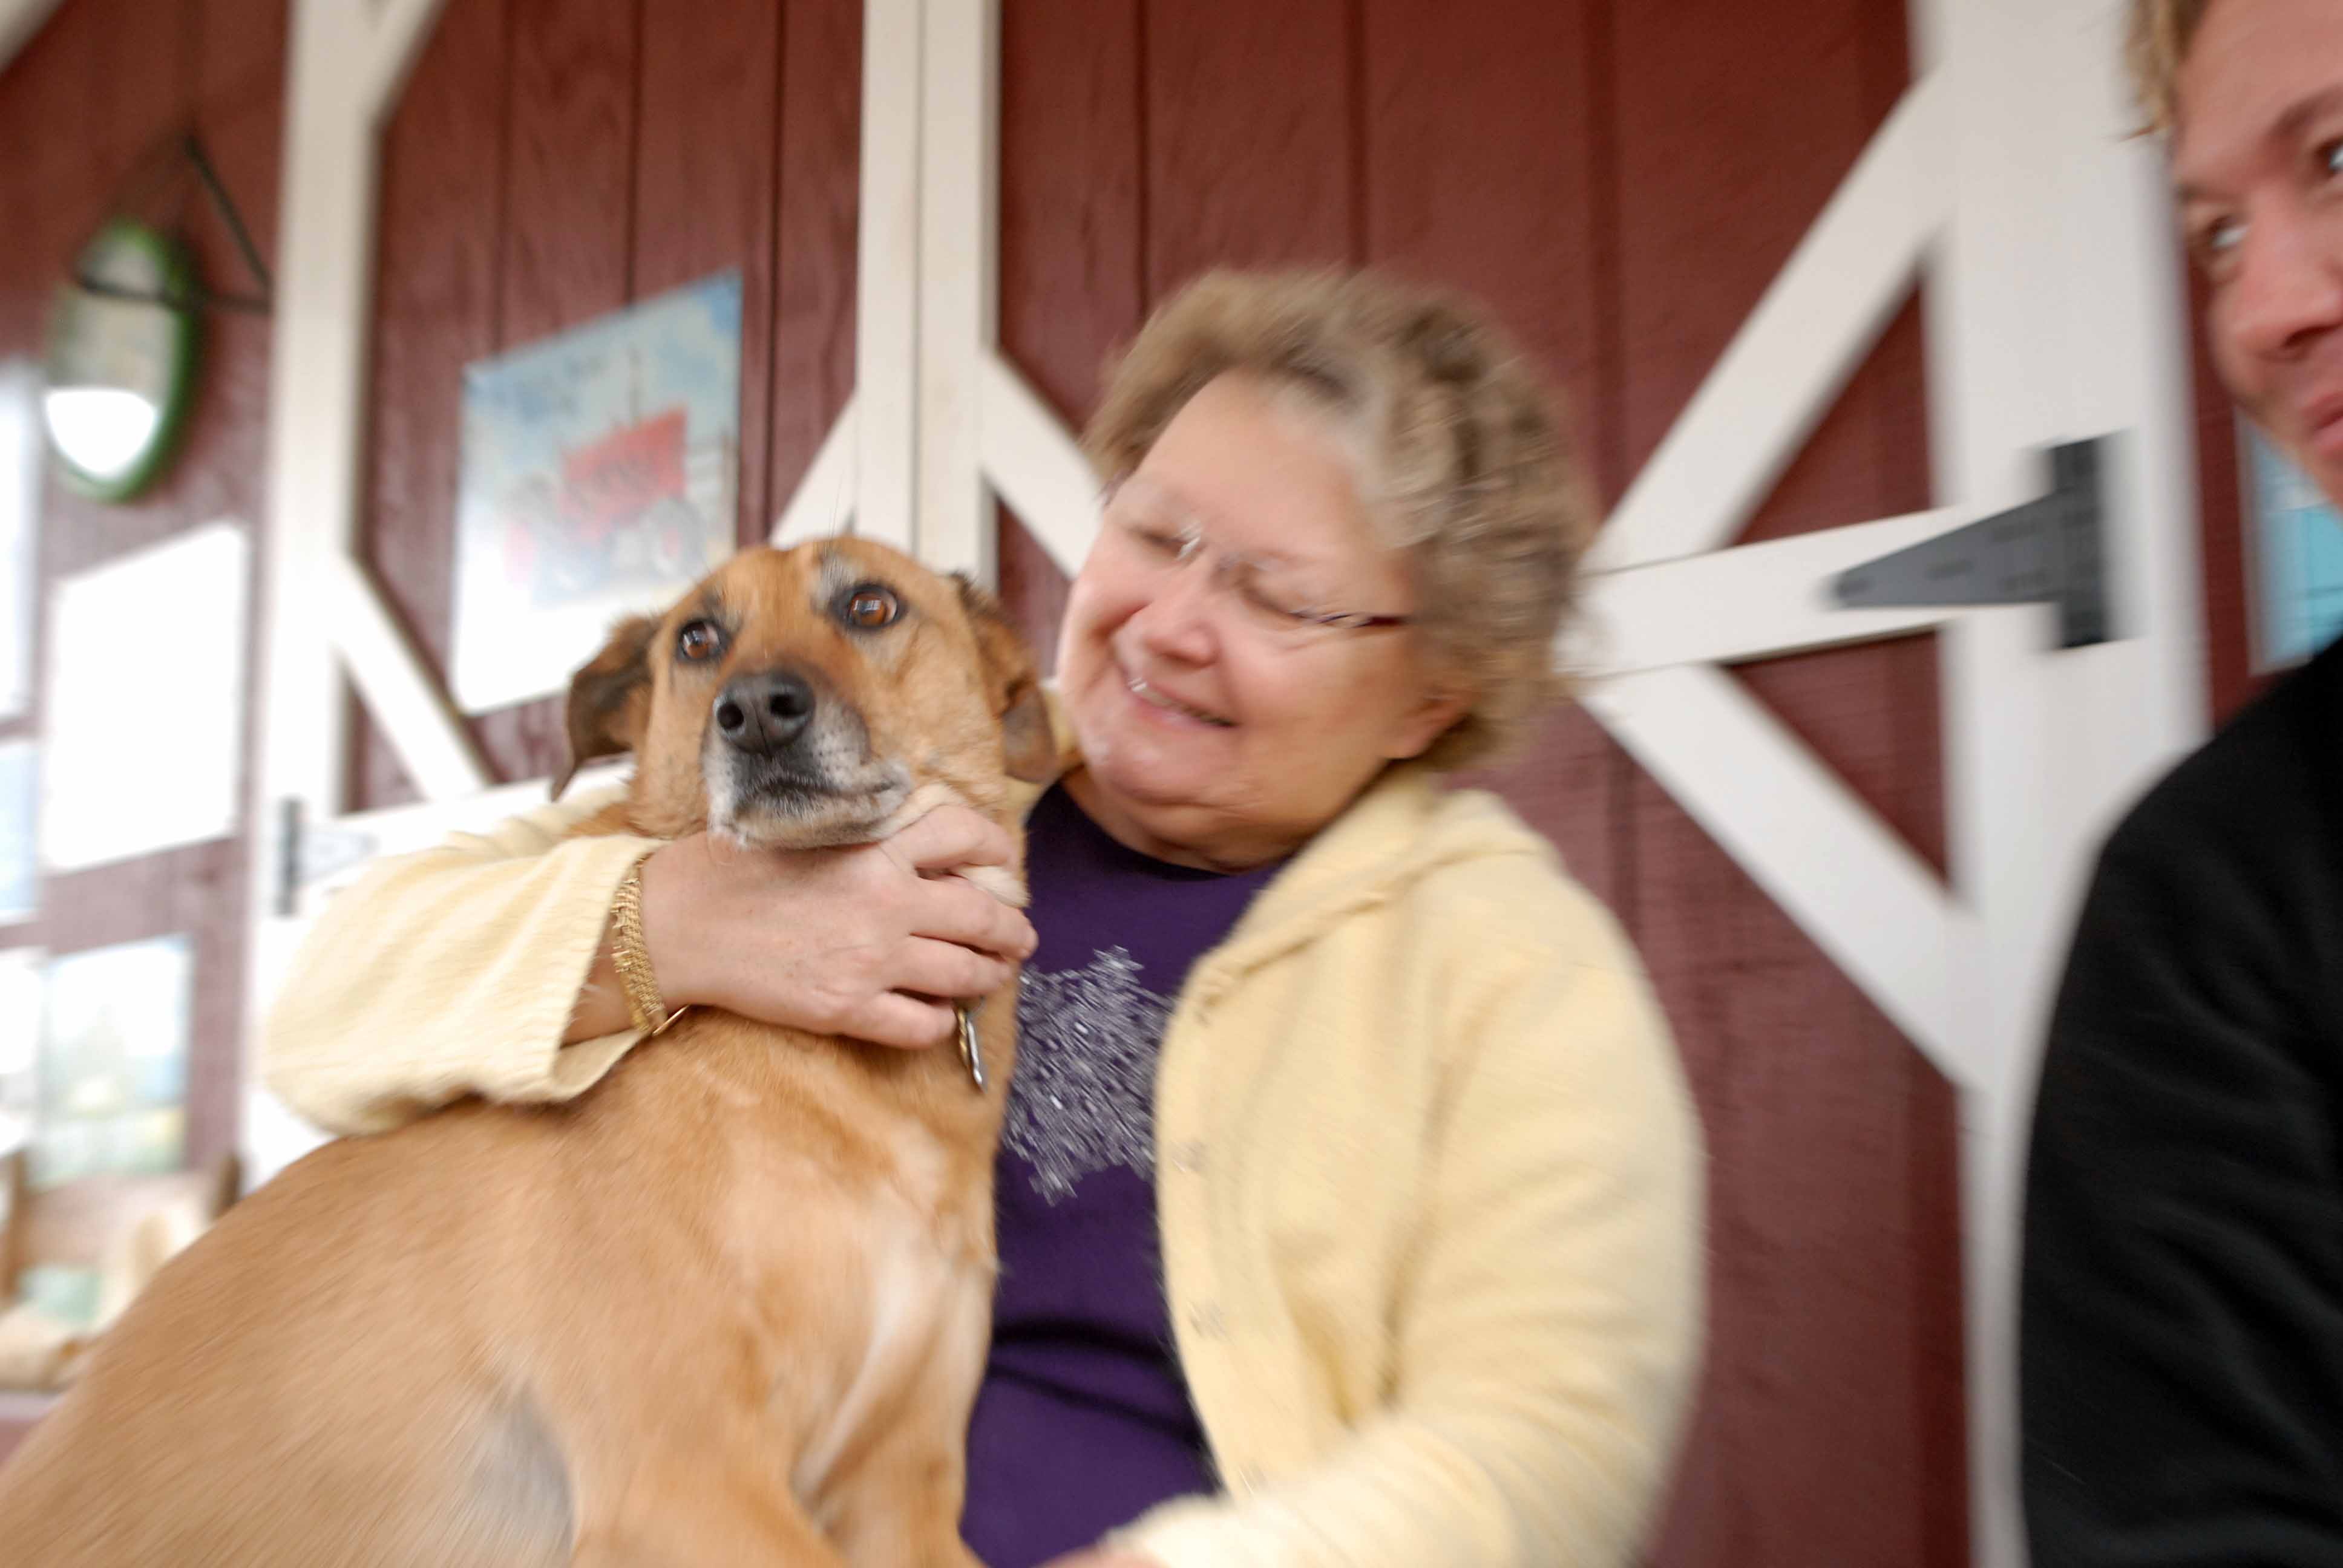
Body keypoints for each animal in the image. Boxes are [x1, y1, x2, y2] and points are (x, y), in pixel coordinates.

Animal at [0, 538, 1056, 1566]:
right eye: (698, 638)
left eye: (871, 606)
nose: (755, 712)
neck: (858, 1086)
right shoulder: (686, 1480)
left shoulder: (900, 1495)